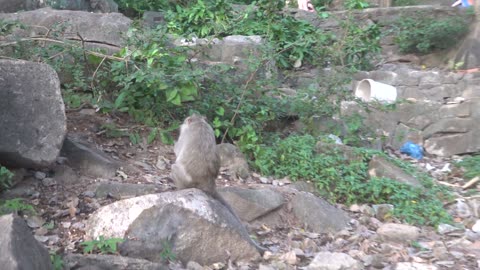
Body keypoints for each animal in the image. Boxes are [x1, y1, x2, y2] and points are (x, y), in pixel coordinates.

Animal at [171, 114, 266, 255]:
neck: (199, 122)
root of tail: (208, 182)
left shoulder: (185, 132)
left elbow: (177, 150)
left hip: (185, 179)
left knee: (174, 167)